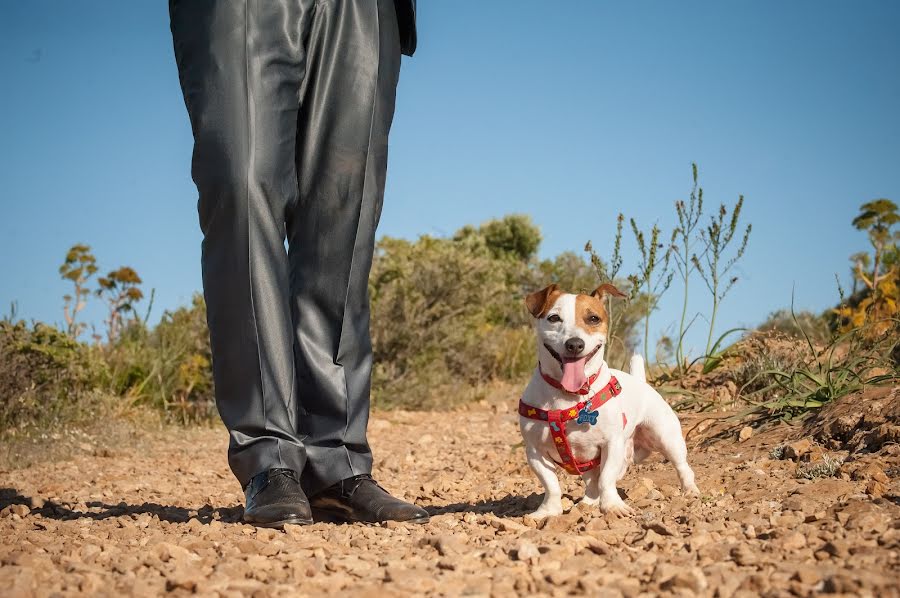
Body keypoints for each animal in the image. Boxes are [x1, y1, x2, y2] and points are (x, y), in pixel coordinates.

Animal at [516, 284, 700, 516]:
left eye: (593, 318)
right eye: (554, 318)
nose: (574, 344)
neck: (568, 396)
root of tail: (641, 381)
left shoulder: (612, 444)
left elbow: (606, 479)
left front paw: (612, 506)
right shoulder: (535, 452)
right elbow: (551, 485)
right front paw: (549, 510)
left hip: (667, 438)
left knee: (683, 467)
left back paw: (690, 490)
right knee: (591, 482)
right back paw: (588, 502)